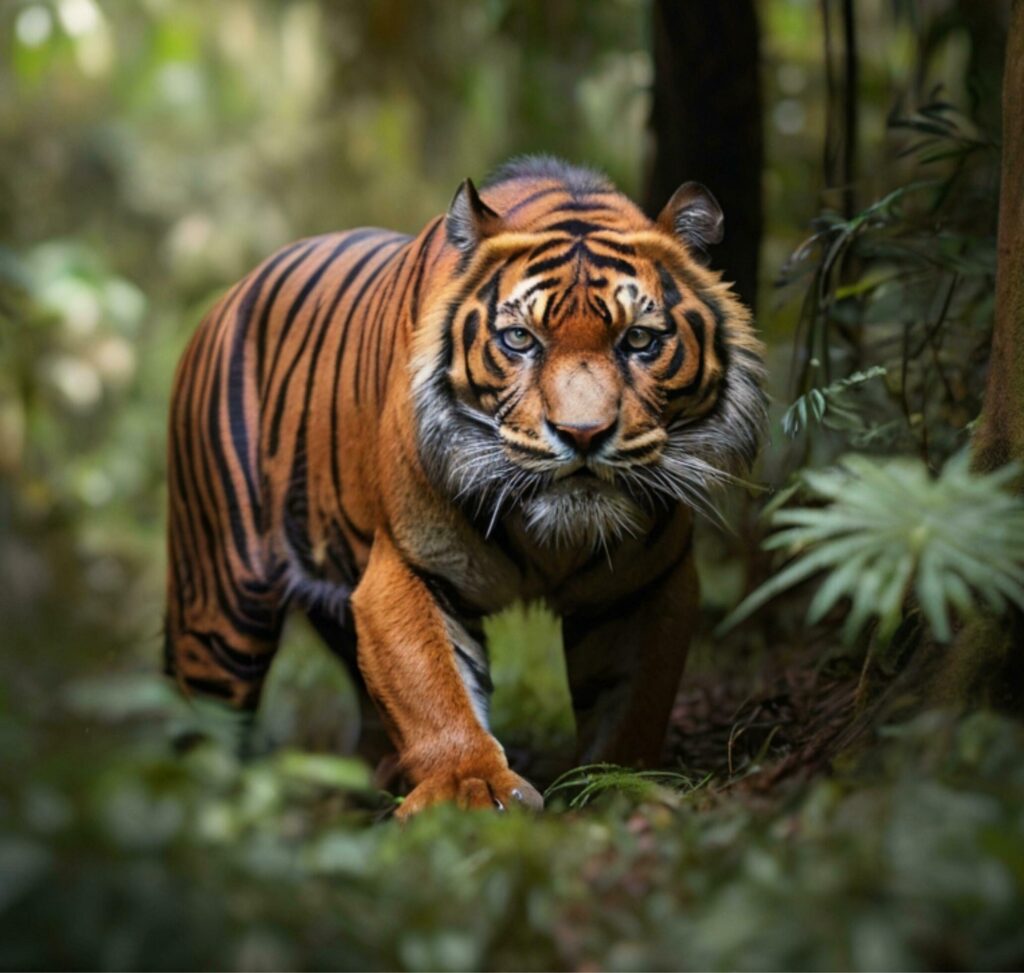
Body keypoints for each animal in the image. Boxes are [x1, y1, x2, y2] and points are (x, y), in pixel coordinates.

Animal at [163, 155, 765, 819]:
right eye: (520, 339)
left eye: (638, 340)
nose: (582, 434)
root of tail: (225, 299)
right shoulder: (407, 566)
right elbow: (433, 689)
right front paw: (471, 791)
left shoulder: (645, 585)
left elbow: (632, 701)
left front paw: (620, 786)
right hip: (218, 611)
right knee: (200, 723)